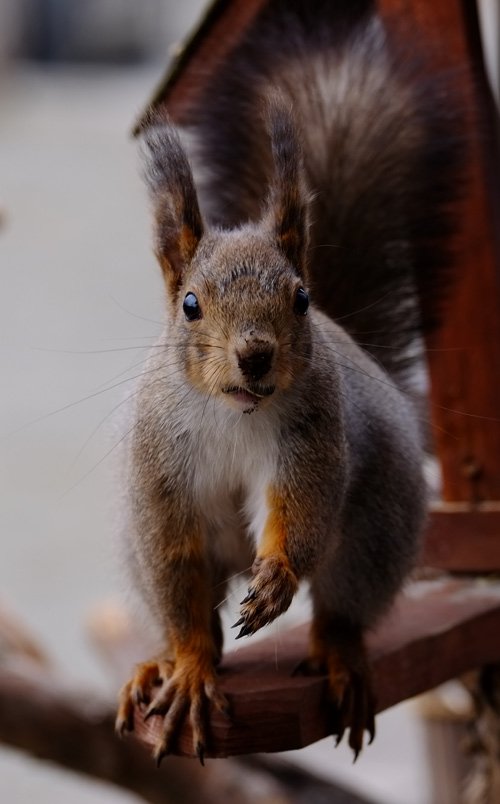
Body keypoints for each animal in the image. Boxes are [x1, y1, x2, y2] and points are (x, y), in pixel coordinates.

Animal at [114, 0, 460, 768]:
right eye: (190, 304)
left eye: (300, 298)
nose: (255, 356)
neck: (234, 413)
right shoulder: (160, 474)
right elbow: (181, 583)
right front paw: (188, 671)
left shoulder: (314, 436)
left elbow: (301, 514)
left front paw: (276, 580)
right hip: (138, 551)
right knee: (185, 603)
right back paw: (160, 665)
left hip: (375, 531)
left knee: (342, 606)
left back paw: (339, 655)